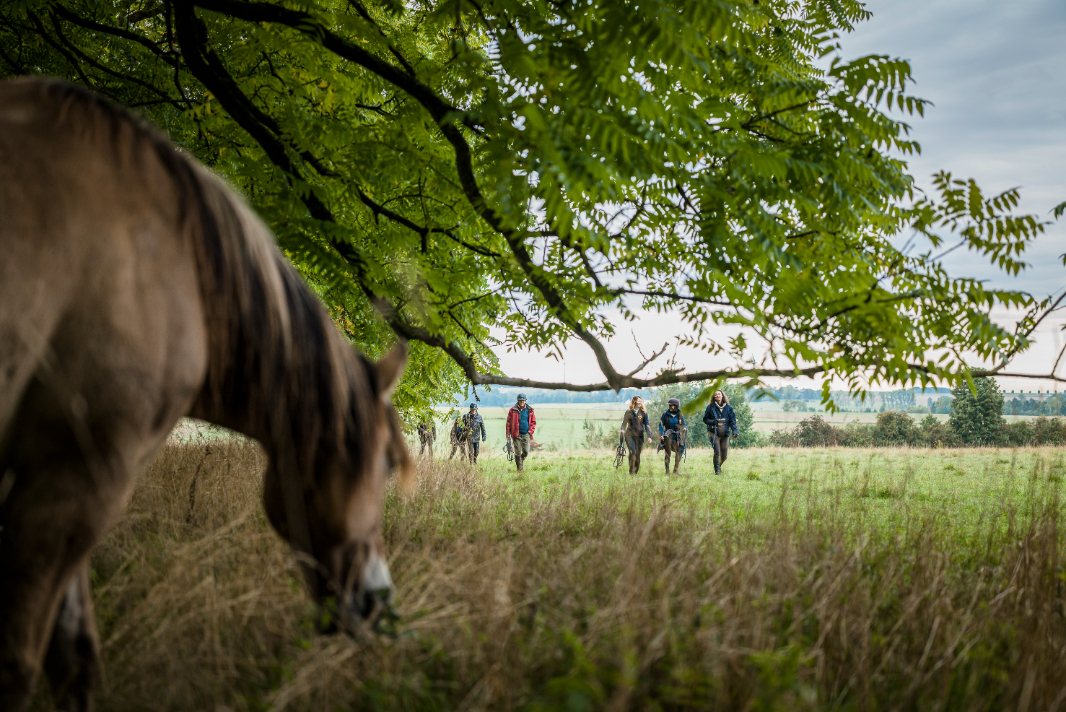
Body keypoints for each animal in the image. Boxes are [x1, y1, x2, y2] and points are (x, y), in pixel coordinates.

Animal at [0, 77, 412, 712]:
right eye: (387, 463)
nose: (377, 604)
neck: (185, 268)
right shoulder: (78, 473)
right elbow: (19, 663)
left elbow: (74, 658)